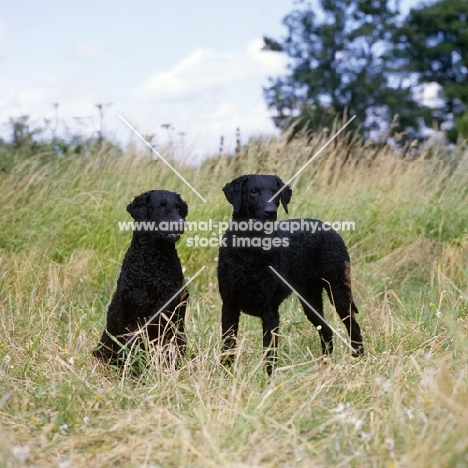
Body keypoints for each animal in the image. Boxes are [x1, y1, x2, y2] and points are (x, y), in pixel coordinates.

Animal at [93, 189, 188, 366]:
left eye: (178, 207)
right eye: (160, 206)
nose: (181, 223)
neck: (152, 260)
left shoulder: (167, 306)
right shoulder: (126, 304)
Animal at [218, 174, 364, 374]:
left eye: (276, 192)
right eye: (253, 191)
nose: (270, 212)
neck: (249, 253)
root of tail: (326, 226)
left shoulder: (270, 312)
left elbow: (270, 355)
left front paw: (268, 380)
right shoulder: (229, 306)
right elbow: (227, 349)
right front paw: (225, 376)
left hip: (339, 290)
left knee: (353, 327)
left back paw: (360, 361)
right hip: (310, 299)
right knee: (326, 330)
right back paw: (325, 366)